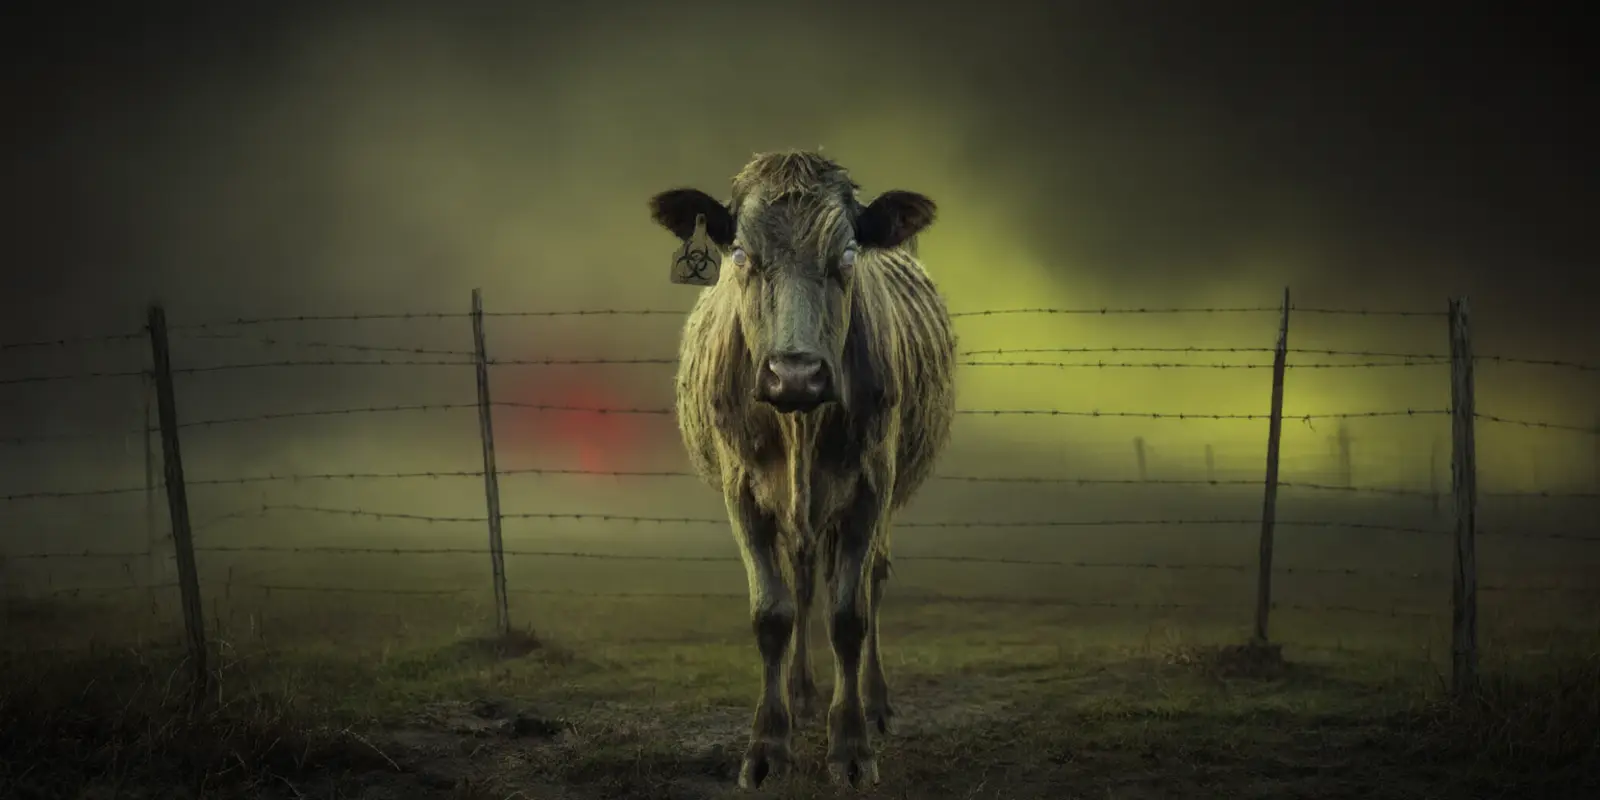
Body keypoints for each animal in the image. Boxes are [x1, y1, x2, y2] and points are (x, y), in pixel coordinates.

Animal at [648, 151, 957, 789]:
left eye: (847, 255)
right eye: (741, 254)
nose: (795, 373)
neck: (800, 425)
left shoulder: (870, 487)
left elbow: (849, 614)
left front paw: (852, 747)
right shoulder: (742, 493)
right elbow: (773, 613)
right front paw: (768, 746)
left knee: (870, 580)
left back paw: (875, 702)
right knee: (804, 578)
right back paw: (800, 693)